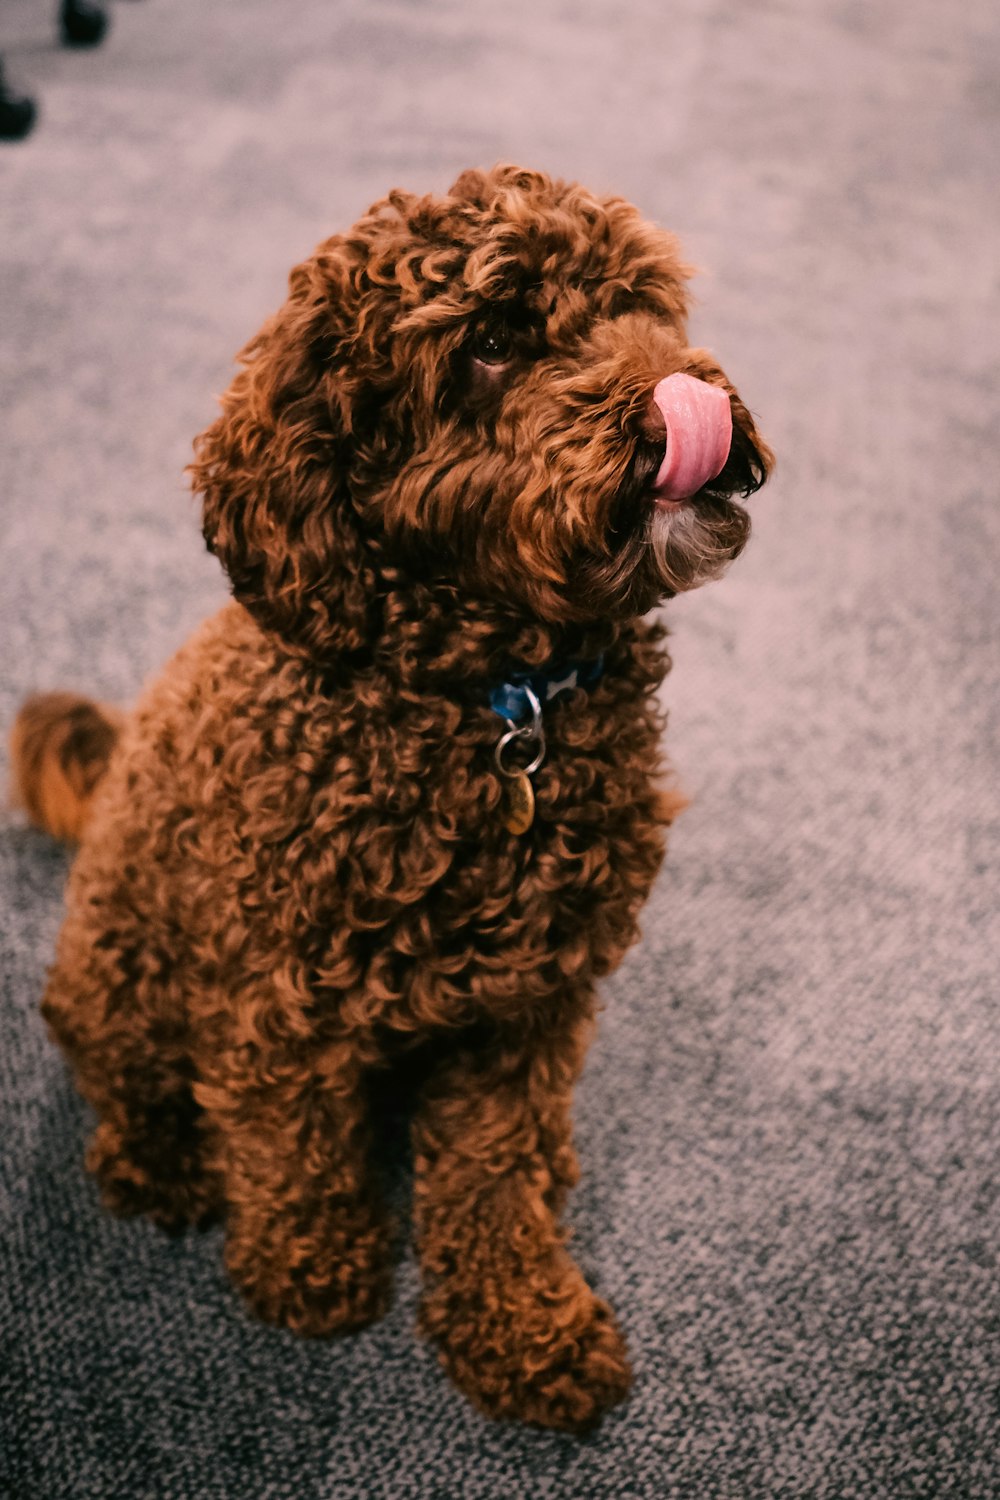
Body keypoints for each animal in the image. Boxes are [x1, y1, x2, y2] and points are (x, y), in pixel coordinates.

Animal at [11, 164, 773, 1428]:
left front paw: (521, 1323)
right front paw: (310, 1271)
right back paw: (159, 1161)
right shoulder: (277, 993)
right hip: (121, 967)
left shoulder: (524, 1006)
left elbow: (490, 1172)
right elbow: (292, 1143)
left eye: (643, 305)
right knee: (121, 1070)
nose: (689, 405)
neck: (504, 704)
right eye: (496, 340)